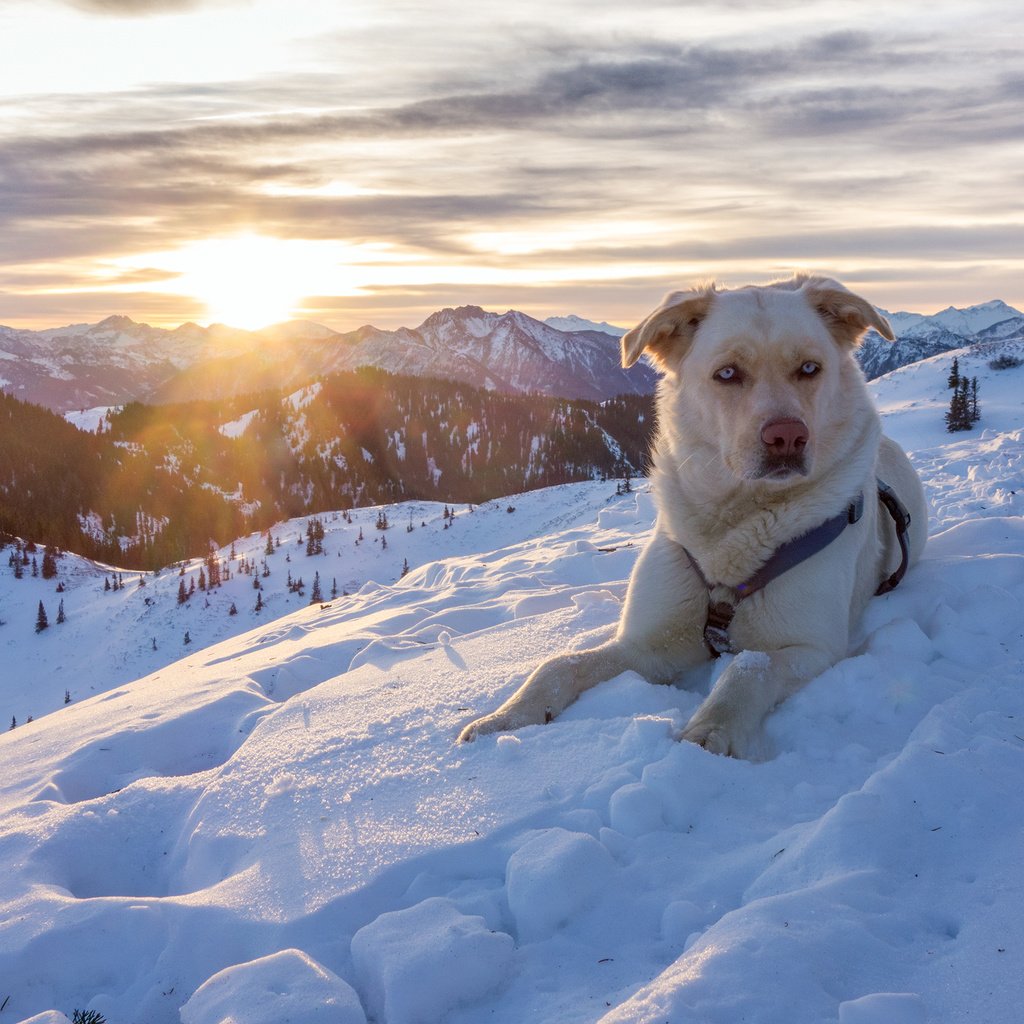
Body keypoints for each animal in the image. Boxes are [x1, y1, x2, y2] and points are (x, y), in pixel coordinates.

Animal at [464, 276, 929, 757]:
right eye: (727, 373)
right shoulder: (651, 644)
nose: (787, 437)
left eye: (809, 368)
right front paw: (505, 718)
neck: (735, 526)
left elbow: (746, 668)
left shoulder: (812, 648)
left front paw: (710, 733)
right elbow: (559, 664)